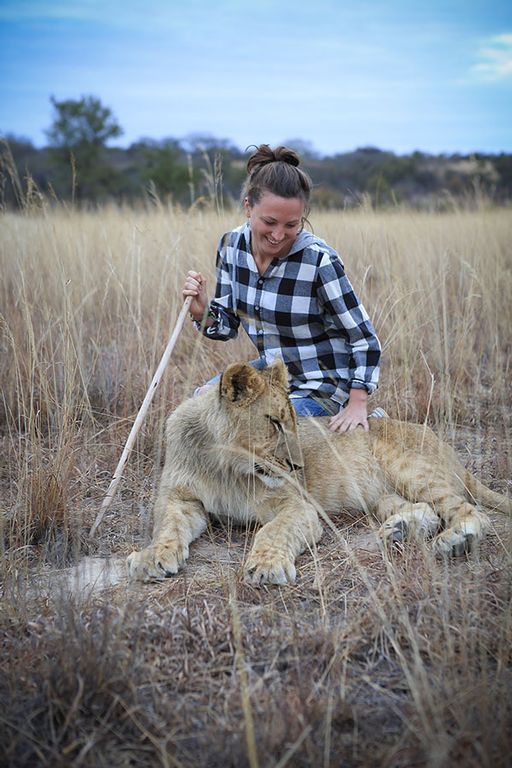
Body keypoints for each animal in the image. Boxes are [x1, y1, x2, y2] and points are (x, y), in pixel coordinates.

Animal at [126, 358, 510, 584]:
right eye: (274, 422)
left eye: (294, 421)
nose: (297, 466)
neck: (223, 464)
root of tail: (449, 448)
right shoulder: (180, 500)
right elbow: (167, 527)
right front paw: (152, 557)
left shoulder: (299, 506)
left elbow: (272, 531)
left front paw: (267, 566)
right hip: (380, 495)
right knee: (426, 510)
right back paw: (400, 529)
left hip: (410, 469)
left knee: (469, 511)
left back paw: (456, 539)